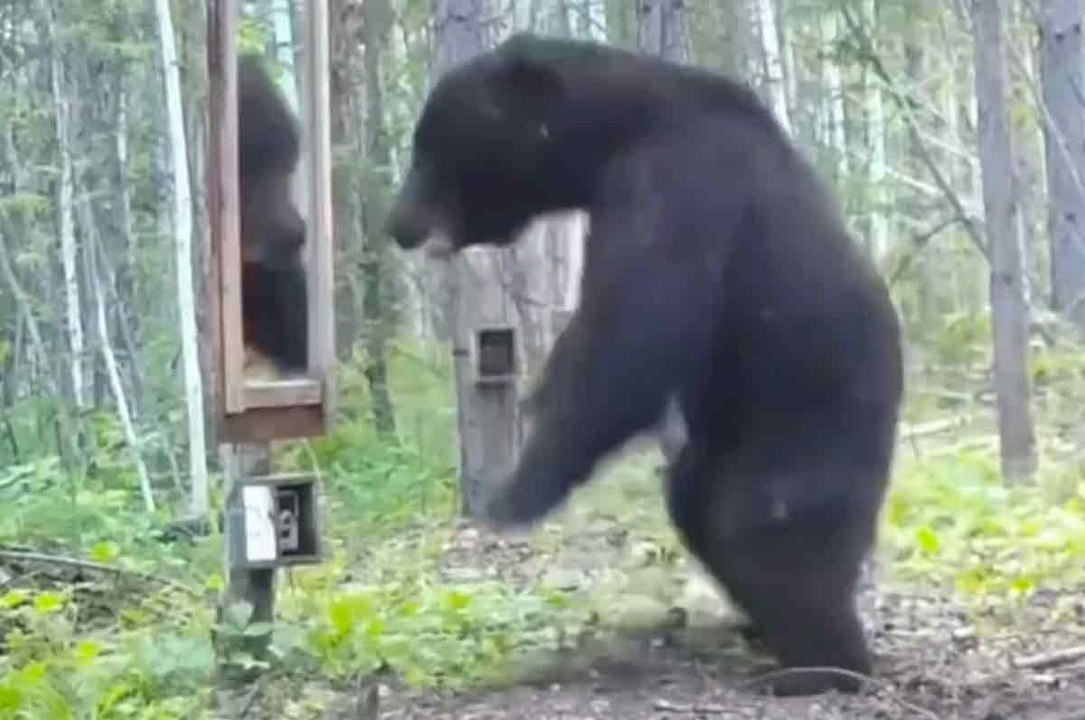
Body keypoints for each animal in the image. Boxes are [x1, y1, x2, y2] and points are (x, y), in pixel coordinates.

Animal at [385, 34, 903, 697]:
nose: (397, 224)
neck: (620, 129)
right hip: (730, 441)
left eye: (428, 149)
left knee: (766, 530)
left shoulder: (677, 182)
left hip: (807, 427)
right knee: (699, 504)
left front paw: (517, 493)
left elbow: (635, 335)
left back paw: (820, 664)